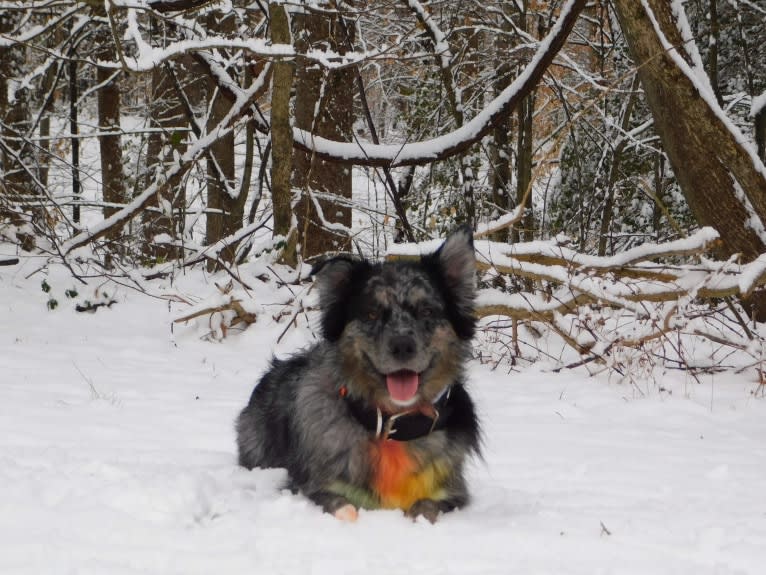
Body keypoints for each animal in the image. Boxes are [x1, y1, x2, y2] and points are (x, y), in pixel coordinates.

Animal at [237, 228, 484, 520]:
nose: (402, 346)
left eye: (426, 311)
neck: (393, 428)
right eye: (371, 313)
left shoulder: (452, 493)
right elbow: (343, 506)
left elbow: (427, 506)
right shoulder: (313, 487)